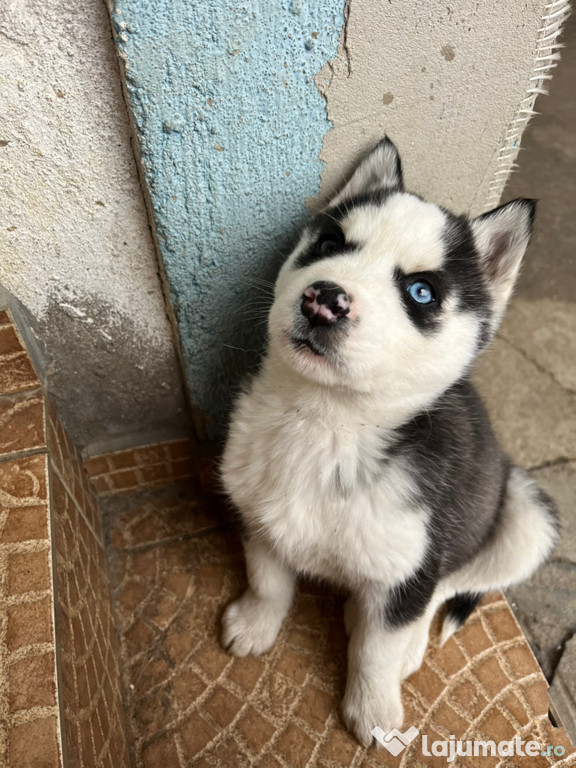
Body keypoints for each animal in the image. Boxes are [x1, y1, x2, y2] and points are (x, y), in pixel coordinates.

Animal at [219, 136, 560, 744]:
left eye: (421, 292)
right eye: (330, 243)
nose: (324, 299)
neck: (326, 425)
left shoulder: (414, 564)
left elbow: (380, 646)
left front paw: (374, 709)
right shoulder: (257, 513)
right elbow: (267, 580)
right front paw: (255, 623)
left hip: (525, 516)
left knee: (450, 585)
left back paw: (404, 641)